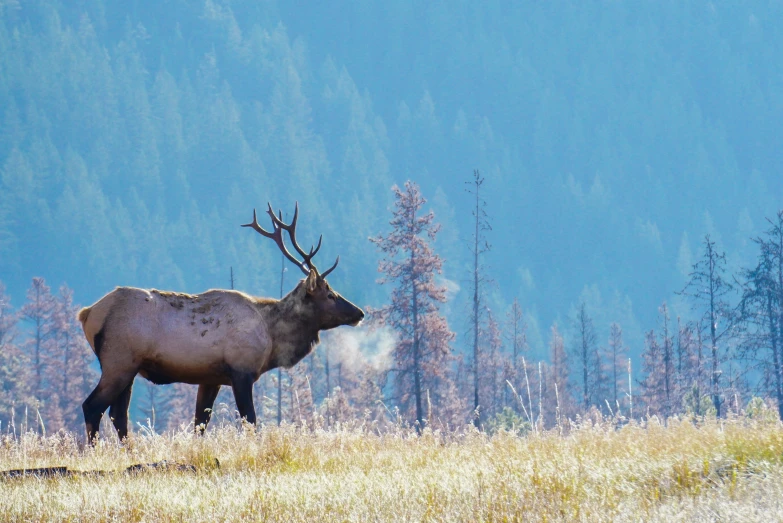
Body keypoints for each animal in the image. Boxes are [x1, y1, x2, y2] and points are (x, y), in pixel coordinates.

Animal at [76, 204, 364, 442]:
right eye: (330, 294)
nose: (359, 313)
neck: (272, 337)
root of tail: (87, 314)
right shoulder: (241, 370)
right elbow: (250, 421)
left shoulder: (210, 378)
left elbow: (200, 424)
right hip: (119, 361)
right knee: (93, 406)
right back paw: (94, 451)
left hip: (130, 367)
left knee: (118, 413)